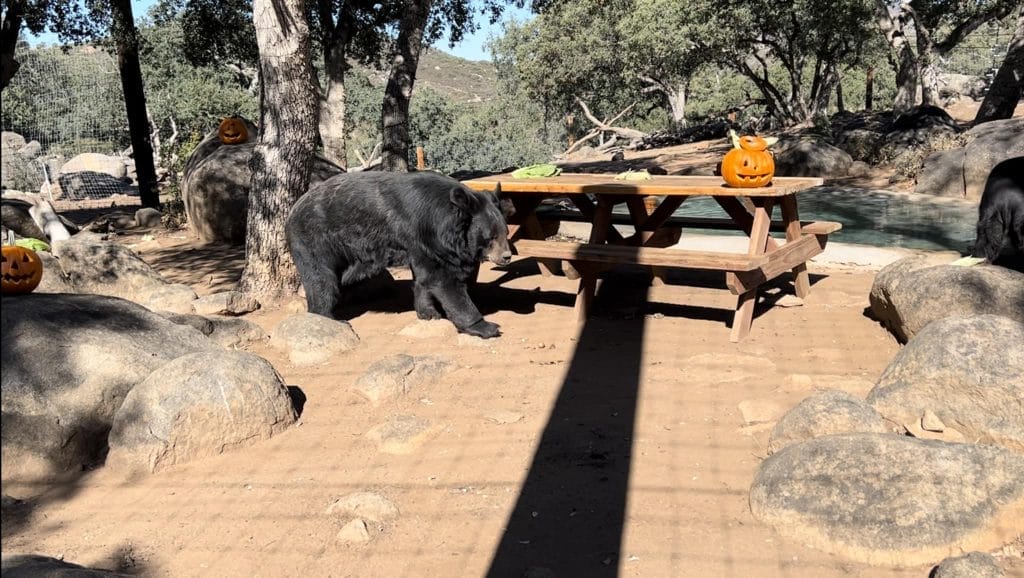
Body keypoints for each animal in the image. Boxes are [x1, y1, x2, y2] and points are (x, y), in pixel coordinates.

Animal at [286, 171, 512, 338]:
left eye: (505, 232)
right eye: (490, 237)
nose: (507, 256)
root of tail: (293, 210)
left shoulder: (419, 244)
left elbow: (423, 278)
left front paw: (428, 313)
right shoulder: (424, 233)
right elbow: (443, 279)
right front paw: (486, 326)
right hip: (315, 239)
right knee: (320, 279)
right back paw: (328, 318)